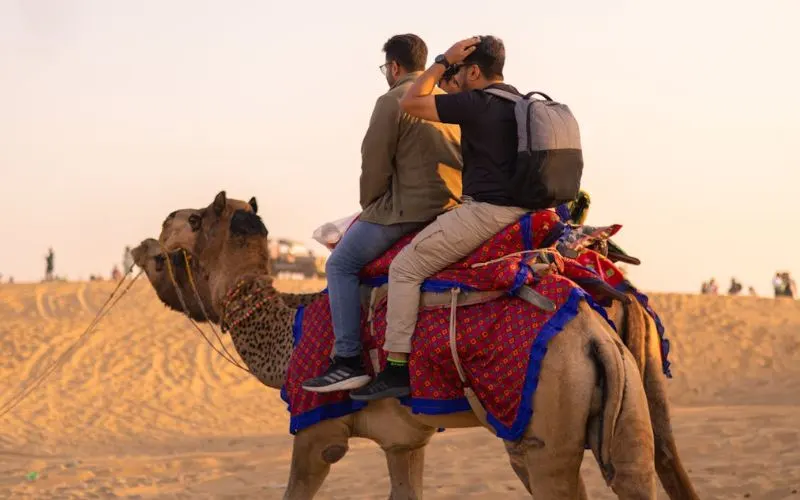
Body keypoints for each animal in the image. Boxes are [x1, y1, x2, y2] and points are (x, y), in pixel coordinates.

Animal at [133, 191, 657, 499]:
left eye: (195, 219)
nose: (146, 242)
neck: (290, 331)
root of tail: (595, 336)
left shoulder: (316, 432)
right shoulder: (404, 441)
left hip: (547, 422)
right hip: (625, 406)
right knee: (636, 472)